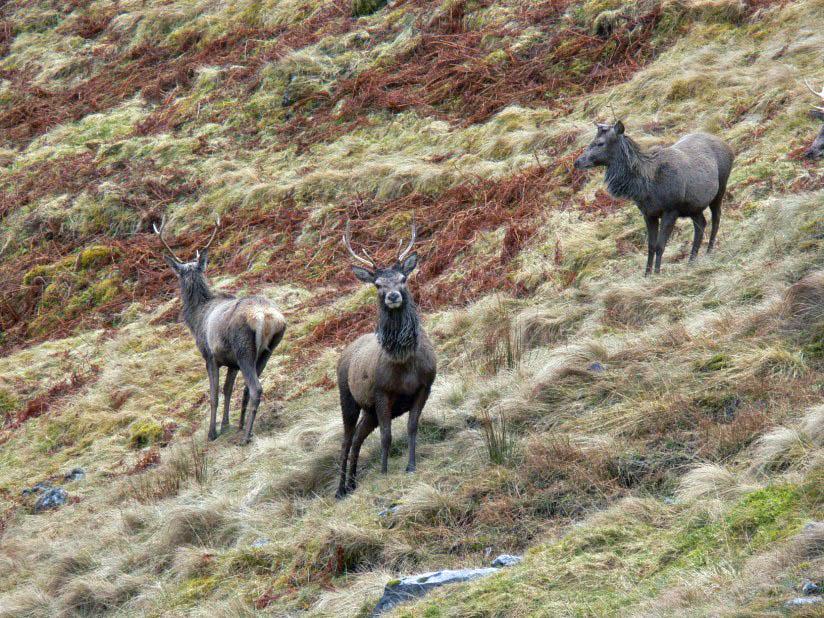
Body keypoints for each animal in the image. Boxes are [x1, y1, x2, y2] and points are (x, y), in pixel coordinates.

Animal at [154, 218, 286, 444]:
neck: (196, 318)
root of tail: (266, 317)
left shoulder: (210, 356)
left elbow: (214, 394)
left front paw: (212, 432)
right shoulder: (231, 362)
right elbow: (227, 390)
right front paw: (226, 425)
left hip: (243, 349)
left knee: (256, 388)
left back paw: (245, 438)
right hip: (266, 350)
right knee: (248, 388)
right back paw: (243, 426)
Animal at [335, 220, 437, 499]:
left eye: (403, 278)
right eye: (378, 284)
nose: (393, 296)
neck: (404, 364)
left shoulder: (425, 386)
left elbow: (412, 426)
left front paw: (411, 466)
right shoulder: (381, 392)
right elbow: (387, 436)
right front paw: (384, 471)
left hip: (368, 410)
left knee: (358, 437)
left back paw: (353, 483)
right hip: (347, 397)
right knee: (346, 439)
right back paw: (340, 488)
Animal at [574, 120, 734, 275]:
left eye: (600, 143)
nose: (577, 162)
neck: (646, 187)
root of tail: (728, 147)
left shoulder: (671, 210)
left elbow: (660, 246)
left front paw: (657, 273)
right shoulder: (648, 213)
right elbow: (650, 246)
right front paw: (646, 274)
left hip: (720, 190)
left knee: (716, 218)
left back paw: (709, 251)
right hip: (693, 207)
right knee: (701, 223)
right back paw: (691, 260)